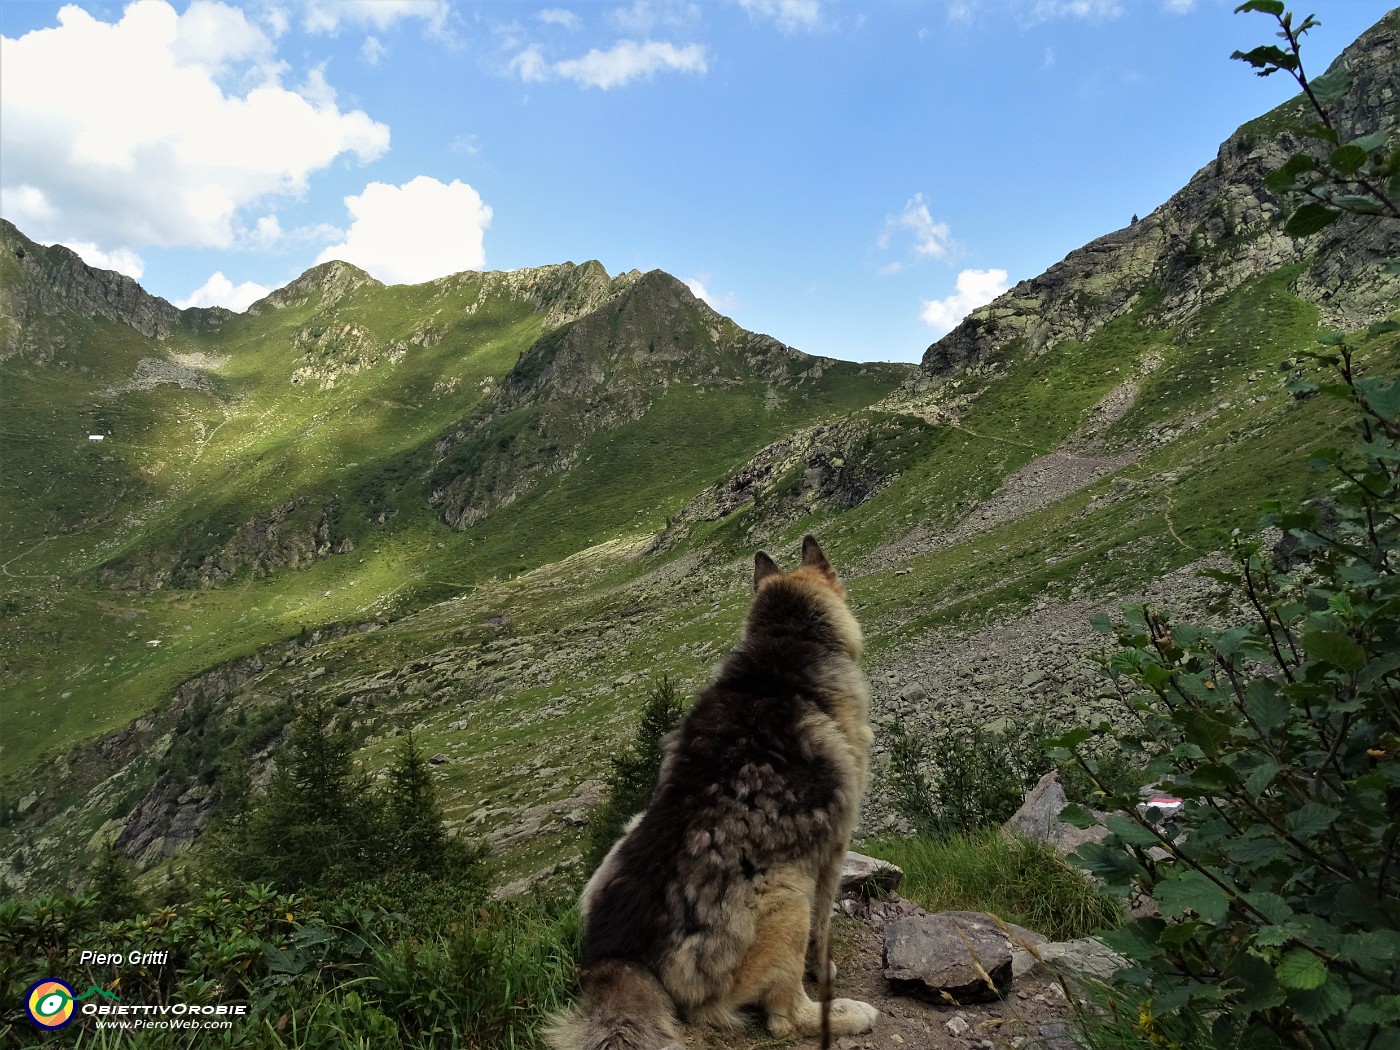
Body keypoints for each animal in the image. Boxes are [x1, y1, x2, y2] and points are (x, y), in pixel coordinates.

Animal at [546, 537, 873, 1050]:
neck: (787, 641)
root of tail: (621, 954)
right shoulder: (833, 850)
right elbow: (824, 929)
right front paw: (825, 972)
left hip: (626, 831)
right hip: (787, 893)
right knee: (783, 1017)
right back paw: (845, 1013)